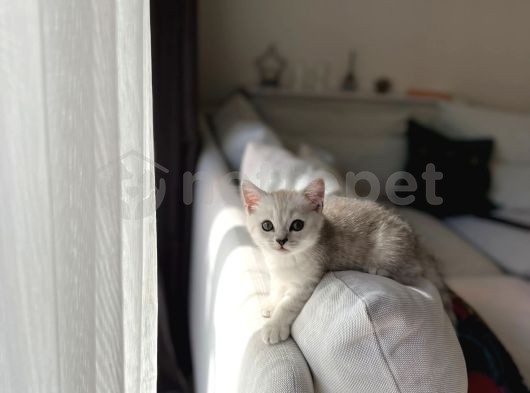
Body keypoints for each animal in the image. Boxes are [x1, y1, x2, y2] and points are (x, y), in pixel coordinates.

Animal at [239, 177, 450, 344]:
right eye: (267, 226)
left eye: (297, 225)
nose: (281, 241)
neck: (285, 261)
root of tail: (416, 241)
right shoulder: (277, 275)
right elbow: (277, 288)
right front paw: (271, 303)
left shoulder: (308, 280)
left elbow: (288, 304)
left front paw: (274, 326)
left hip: (390, 247)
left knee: (411, 272)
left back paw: (378, 269)